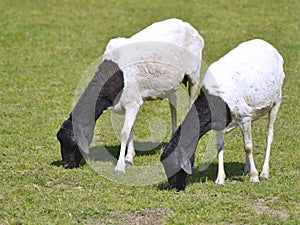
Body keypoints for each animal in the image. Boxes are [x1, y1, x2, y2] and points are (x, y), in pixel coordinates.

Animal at [56, 18, 204, 176]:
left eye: (73, 142)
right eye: (60, 140)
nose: (67, 165)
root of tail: (188, 26)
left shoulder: (132, 102)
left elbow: (124, 133)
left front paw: (120, 167)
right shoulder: (127, 104)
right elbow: (129, 130)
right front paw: (129, 158)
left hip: (194, 76)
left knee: (191, 104)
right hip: (170, 84)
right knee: (173, 105)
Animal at [162, 38, 286, 190]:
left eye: (174, 165)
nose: (175, 187)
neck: (215, 98)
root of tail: (268, 45)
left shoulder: (244, 117)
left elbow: (248, 147)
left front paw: (254, 177)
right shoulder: (222, 123)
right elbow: (220, 147)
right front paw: (220, 179)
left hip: (276, 101)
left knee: (269, 135)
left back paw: (263, 173)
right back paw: (247, 169)